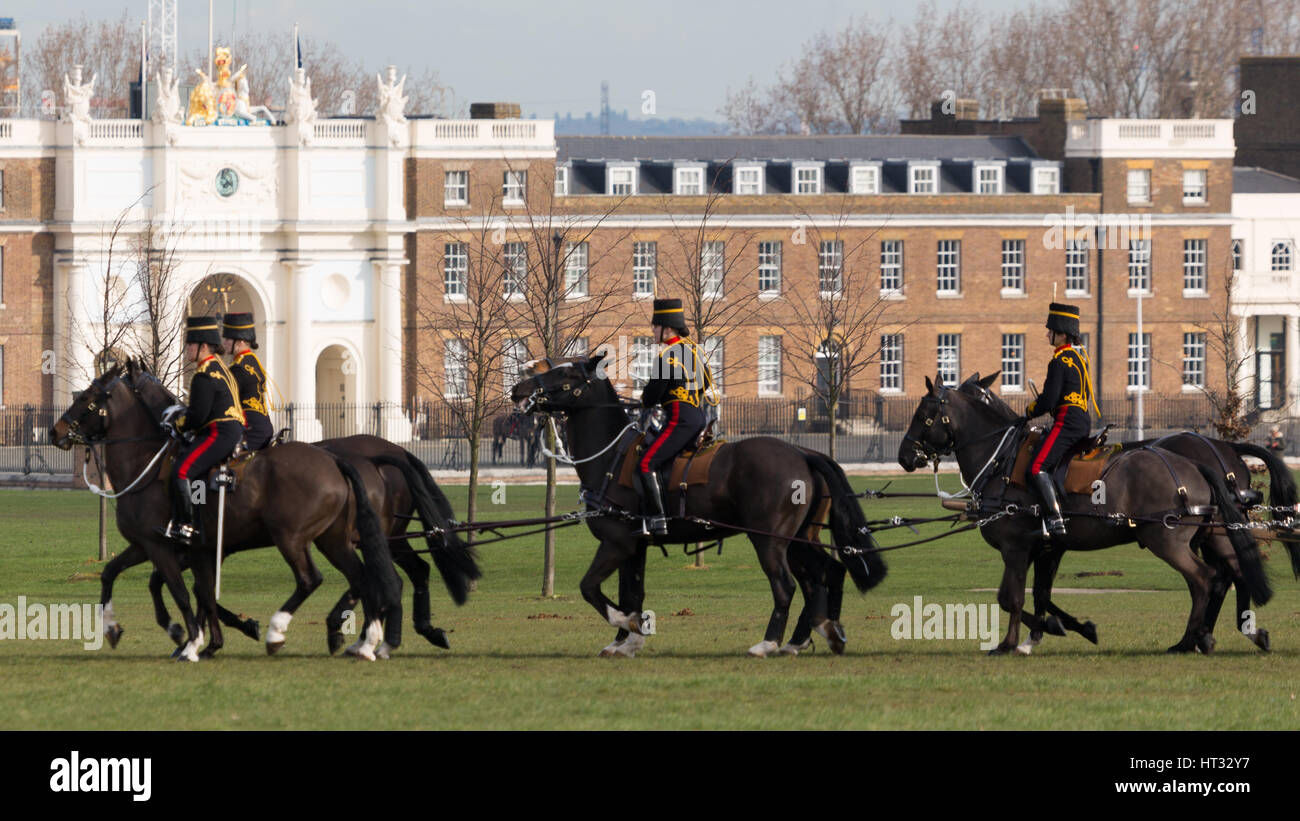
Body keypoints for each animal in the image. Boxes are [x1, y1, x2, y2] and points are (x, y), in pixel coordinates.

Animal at [50, 358, 408, 659]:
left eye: (87, 397)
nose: (56, 431)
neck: (147, 463)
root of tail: (335, 460)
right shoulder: (159, 546)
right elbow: (117, 574)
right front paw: (119, 628)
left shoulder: (164, 547)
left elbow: (184, 593)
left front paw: (192, 641)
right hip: (332, 540)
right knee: (362, 578)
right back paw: (365, 642)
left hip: (291, 538)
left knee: (312, 579)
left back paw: (280, 632)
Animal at [94, 436, 483, 654]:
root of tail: (385, 454)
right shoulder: (194, 550)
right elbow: (186, 588)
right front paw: (205, 632)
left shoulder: (183, 549)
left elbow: (179, 587)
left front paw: (195, 633)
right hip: (380, 538)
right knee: (405, 574)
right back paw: (408, 632)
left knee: (375, 578)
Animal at [506, 355, 883, 657]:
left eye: (565, 375)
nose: (519, 388)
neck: (612, 457)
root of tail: (802, 453)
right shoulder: (635, 547)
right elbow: (632, 592)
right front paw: (628, 639)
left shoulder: (616, 543)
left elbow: (591, 588)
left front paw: (629, 625)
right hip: (800, 540)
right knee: (826, 574)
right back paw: (820, 632)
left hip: (770, 541)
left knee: (787, 586)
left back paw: (771, 642)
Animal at [899, 371, 1263, 654]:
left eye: (923, 413)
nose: (905, 456)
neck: (1002, 459)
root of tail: (1198, 463)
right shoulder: (1046, 549)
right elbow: (1038, 595)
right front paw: (1055, 629)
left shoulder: (1016, 548)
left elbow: (1010, 597)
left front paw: (1010, 643)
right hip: (1214, 536)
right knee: (1230, 572)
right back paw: (1235, 633)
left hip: (1167, 541)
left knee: (1204, 579)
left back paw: (1192, 640)